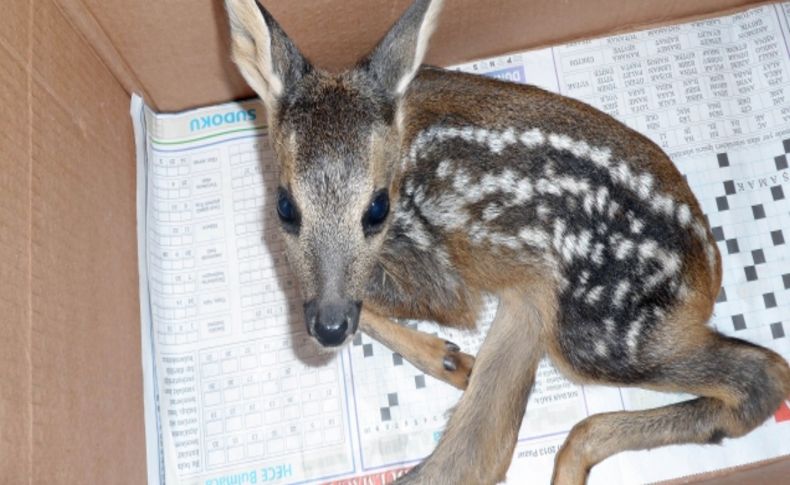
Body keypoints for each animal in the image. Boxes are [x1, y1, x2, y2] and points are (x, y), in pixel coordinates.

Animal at [226, 0, 790, 482]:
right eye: (285, 206)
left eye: (377, 209)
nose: (328, 326)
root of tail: (708, 266)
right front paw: (447, 358)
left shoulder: (439, 277)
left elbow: (384, 300)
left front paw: (443, 351)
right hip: (532, 308)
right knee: (479, 452)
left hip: (599, 332)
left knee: (763, 375)